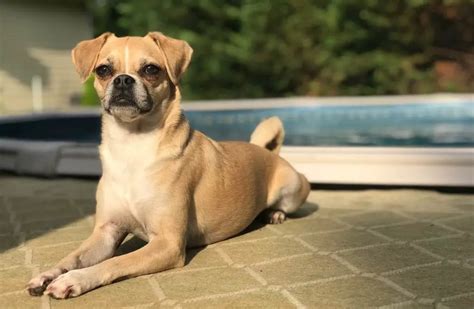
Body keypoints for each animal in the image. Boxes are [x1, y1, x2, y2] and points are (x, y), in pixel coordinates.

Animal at [26, 32, 312, 298]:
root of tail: (265, 150)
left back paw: (274, 213)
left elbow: (116, 262)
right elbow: (72, 256)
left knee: (284, 204)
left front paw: (74, 278)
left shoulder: (167, 243)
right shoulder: (106, 232)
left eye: (151, 70)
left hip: (292, 189)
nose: (123, 79)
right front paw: (49, 273)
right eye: (104, 70)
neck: (132, 146)